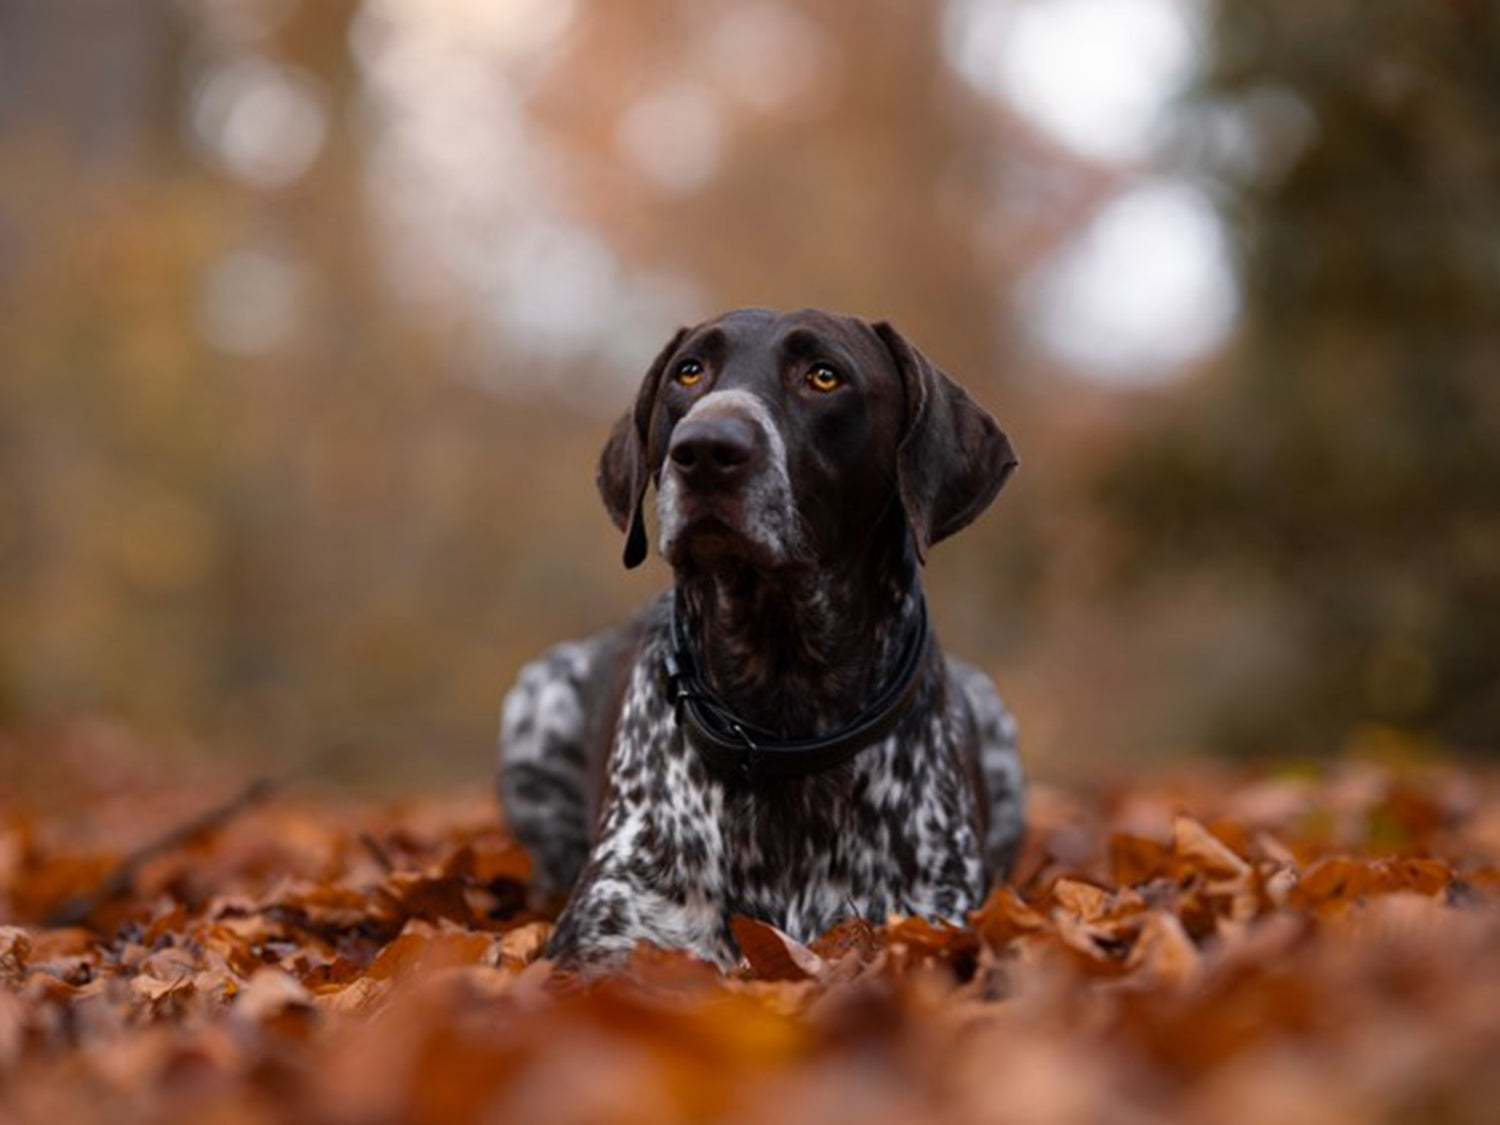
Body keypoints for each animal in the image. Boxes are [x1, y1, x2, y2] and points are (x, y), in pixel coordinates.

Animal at [498, 309, 1026, 972]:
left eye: (824, 376)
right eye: (689, 371)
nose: (703, 449)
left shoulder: (935, 918)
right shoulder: (603, 945)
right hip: (536, 698)